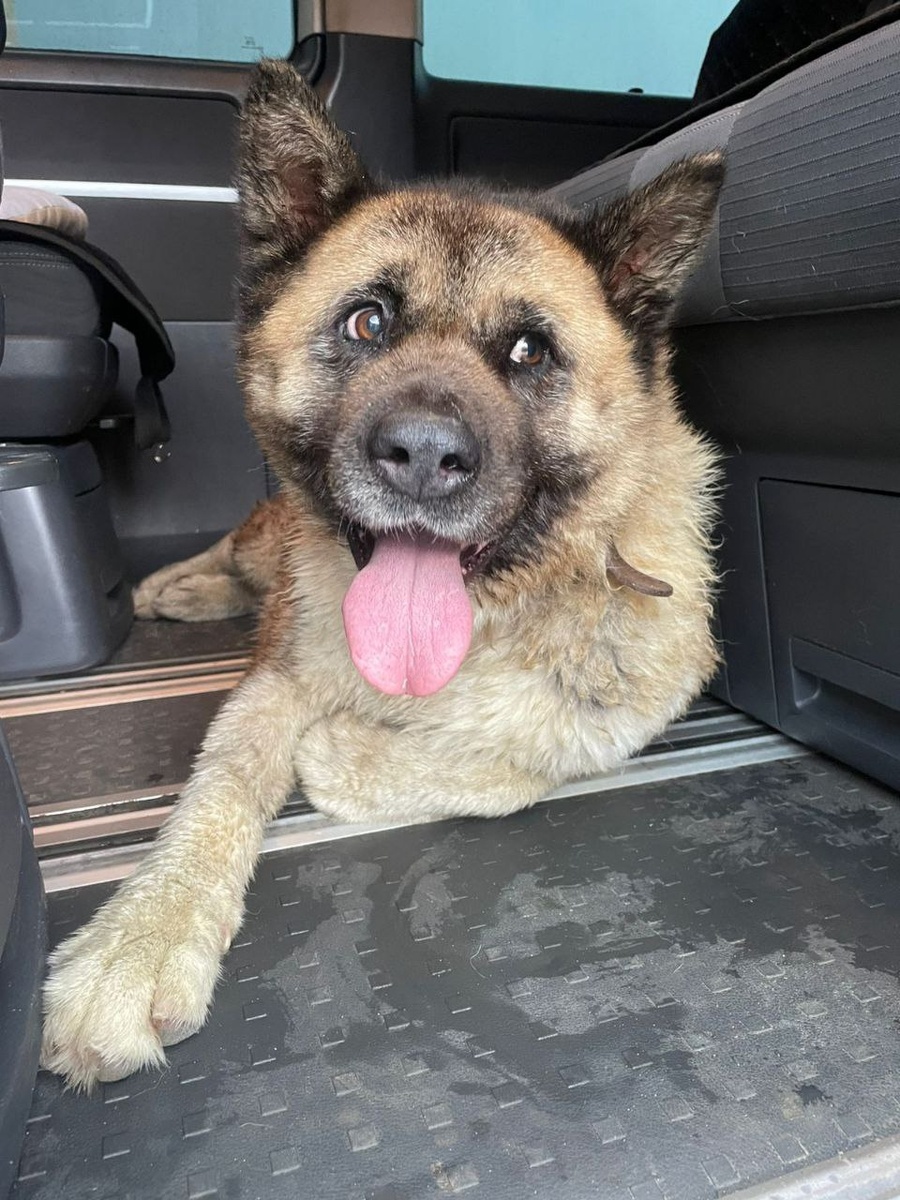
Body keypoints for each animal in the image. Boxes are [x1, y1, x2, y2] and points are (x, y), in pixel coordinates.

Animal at [41, 60, 724, 1090]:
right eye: (367, 322)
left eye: (530, 351)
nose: (424, 457)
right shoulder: (273, 681)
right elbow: (219, 786)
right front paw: (144, 936)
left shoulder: (623, 720)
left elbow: (520, 765)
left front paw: (345, 754)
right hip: (267, 540)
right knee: (246, 549)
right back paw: (182, 585)